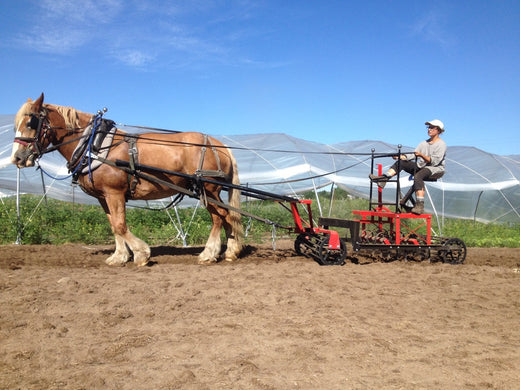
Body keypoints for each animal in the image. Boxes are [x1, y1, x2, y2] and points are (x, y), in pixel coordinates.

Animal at [10, 93, 244, 266]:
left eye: (31, 122)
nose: (17, 158)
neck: (94, 145)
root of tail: (219, 145)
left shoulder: (115, 193)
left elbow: (121, 224)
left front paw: (141, 253)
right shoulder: (103, 196)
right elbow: (113, 225)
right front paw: (119, 256)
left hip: (208, 188)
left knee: (219, 217)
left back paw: (209, 253)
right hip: (209, 191)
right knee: (228, 216)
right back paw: (231, 251)